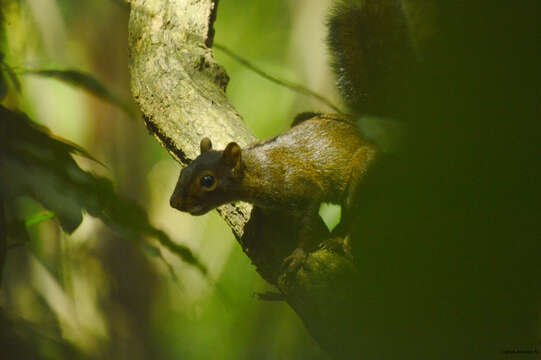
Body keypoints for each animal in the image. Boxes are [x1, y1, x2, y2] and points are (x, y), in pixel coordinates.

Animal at [169, 0, 410, 270]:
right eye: (183, 171)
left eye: (207, 181)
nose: (174, 202)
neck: (258, 169)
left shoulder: (304, 188)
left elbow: (307, 226)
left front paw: (299, 255)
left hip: (364, 170)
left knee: (354, 210)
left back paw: (339, 239)